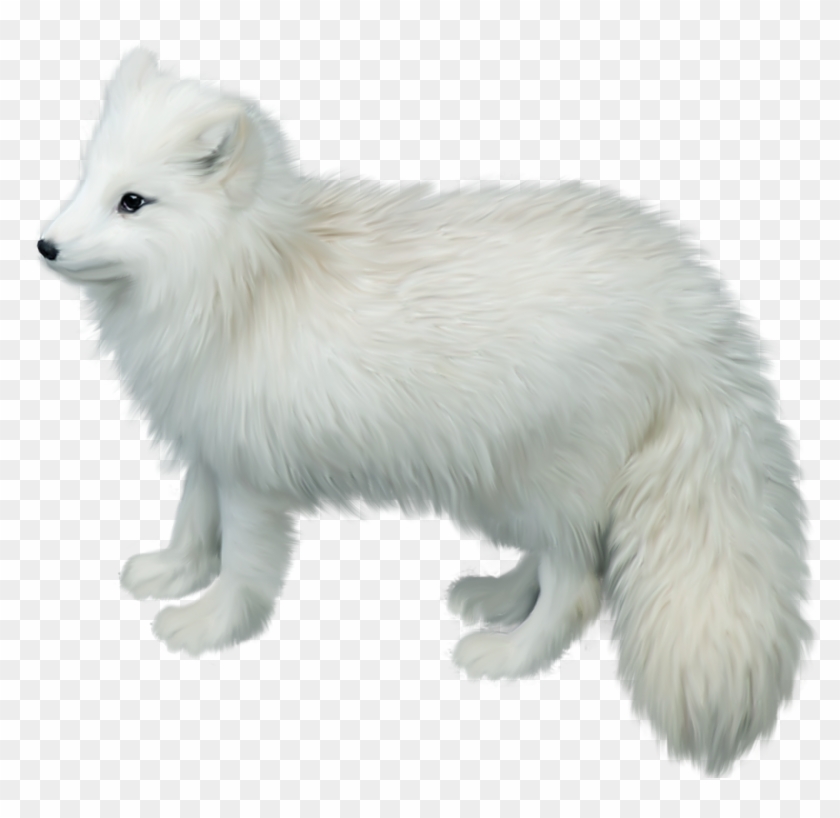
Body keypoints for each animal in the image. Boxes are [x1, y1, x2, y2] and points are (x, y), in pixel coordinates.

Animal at [38, 49, 810, 775]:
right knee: (557, 558)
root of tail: (695, 310)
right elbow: (192, 522)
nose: (44, 245)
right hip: (515, 481)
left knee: (579, 587)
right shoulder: (210, 443)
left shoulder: (252, 477)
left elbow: (243, 565)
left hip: (543, 475)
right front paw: (172, 573)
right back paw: (499, 598)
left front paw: (211, 624)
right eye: (86, 180)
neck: (248, 279)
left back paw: (510, 655)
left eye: (133, 202)